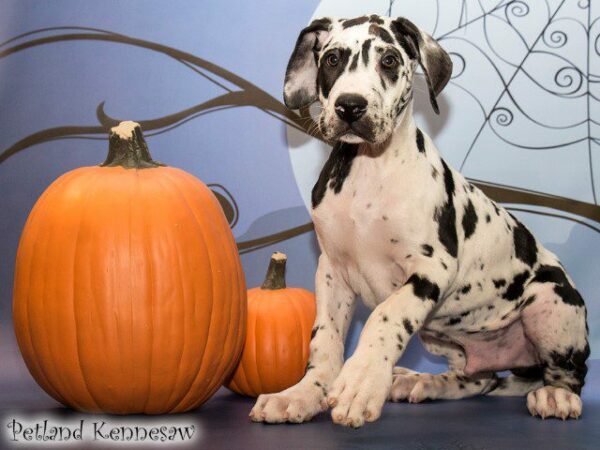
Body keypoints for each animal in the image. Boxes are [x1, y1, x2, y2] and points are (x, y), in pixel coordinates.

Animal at [248, 14, 592, 428]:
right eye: (332, 59)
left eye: (390, 61)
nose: (350, 107)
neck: (368, 171)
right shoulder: (331, 273)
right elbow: (324, 339)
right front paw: (302, 395)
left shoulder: (432, 269)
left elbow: (386, 315)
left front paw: (361, 380)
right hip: (445, 338)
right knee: (478, 378)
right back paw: (422, 382)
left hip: (551, 302)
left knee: (569, 374)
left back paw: (556, 395)